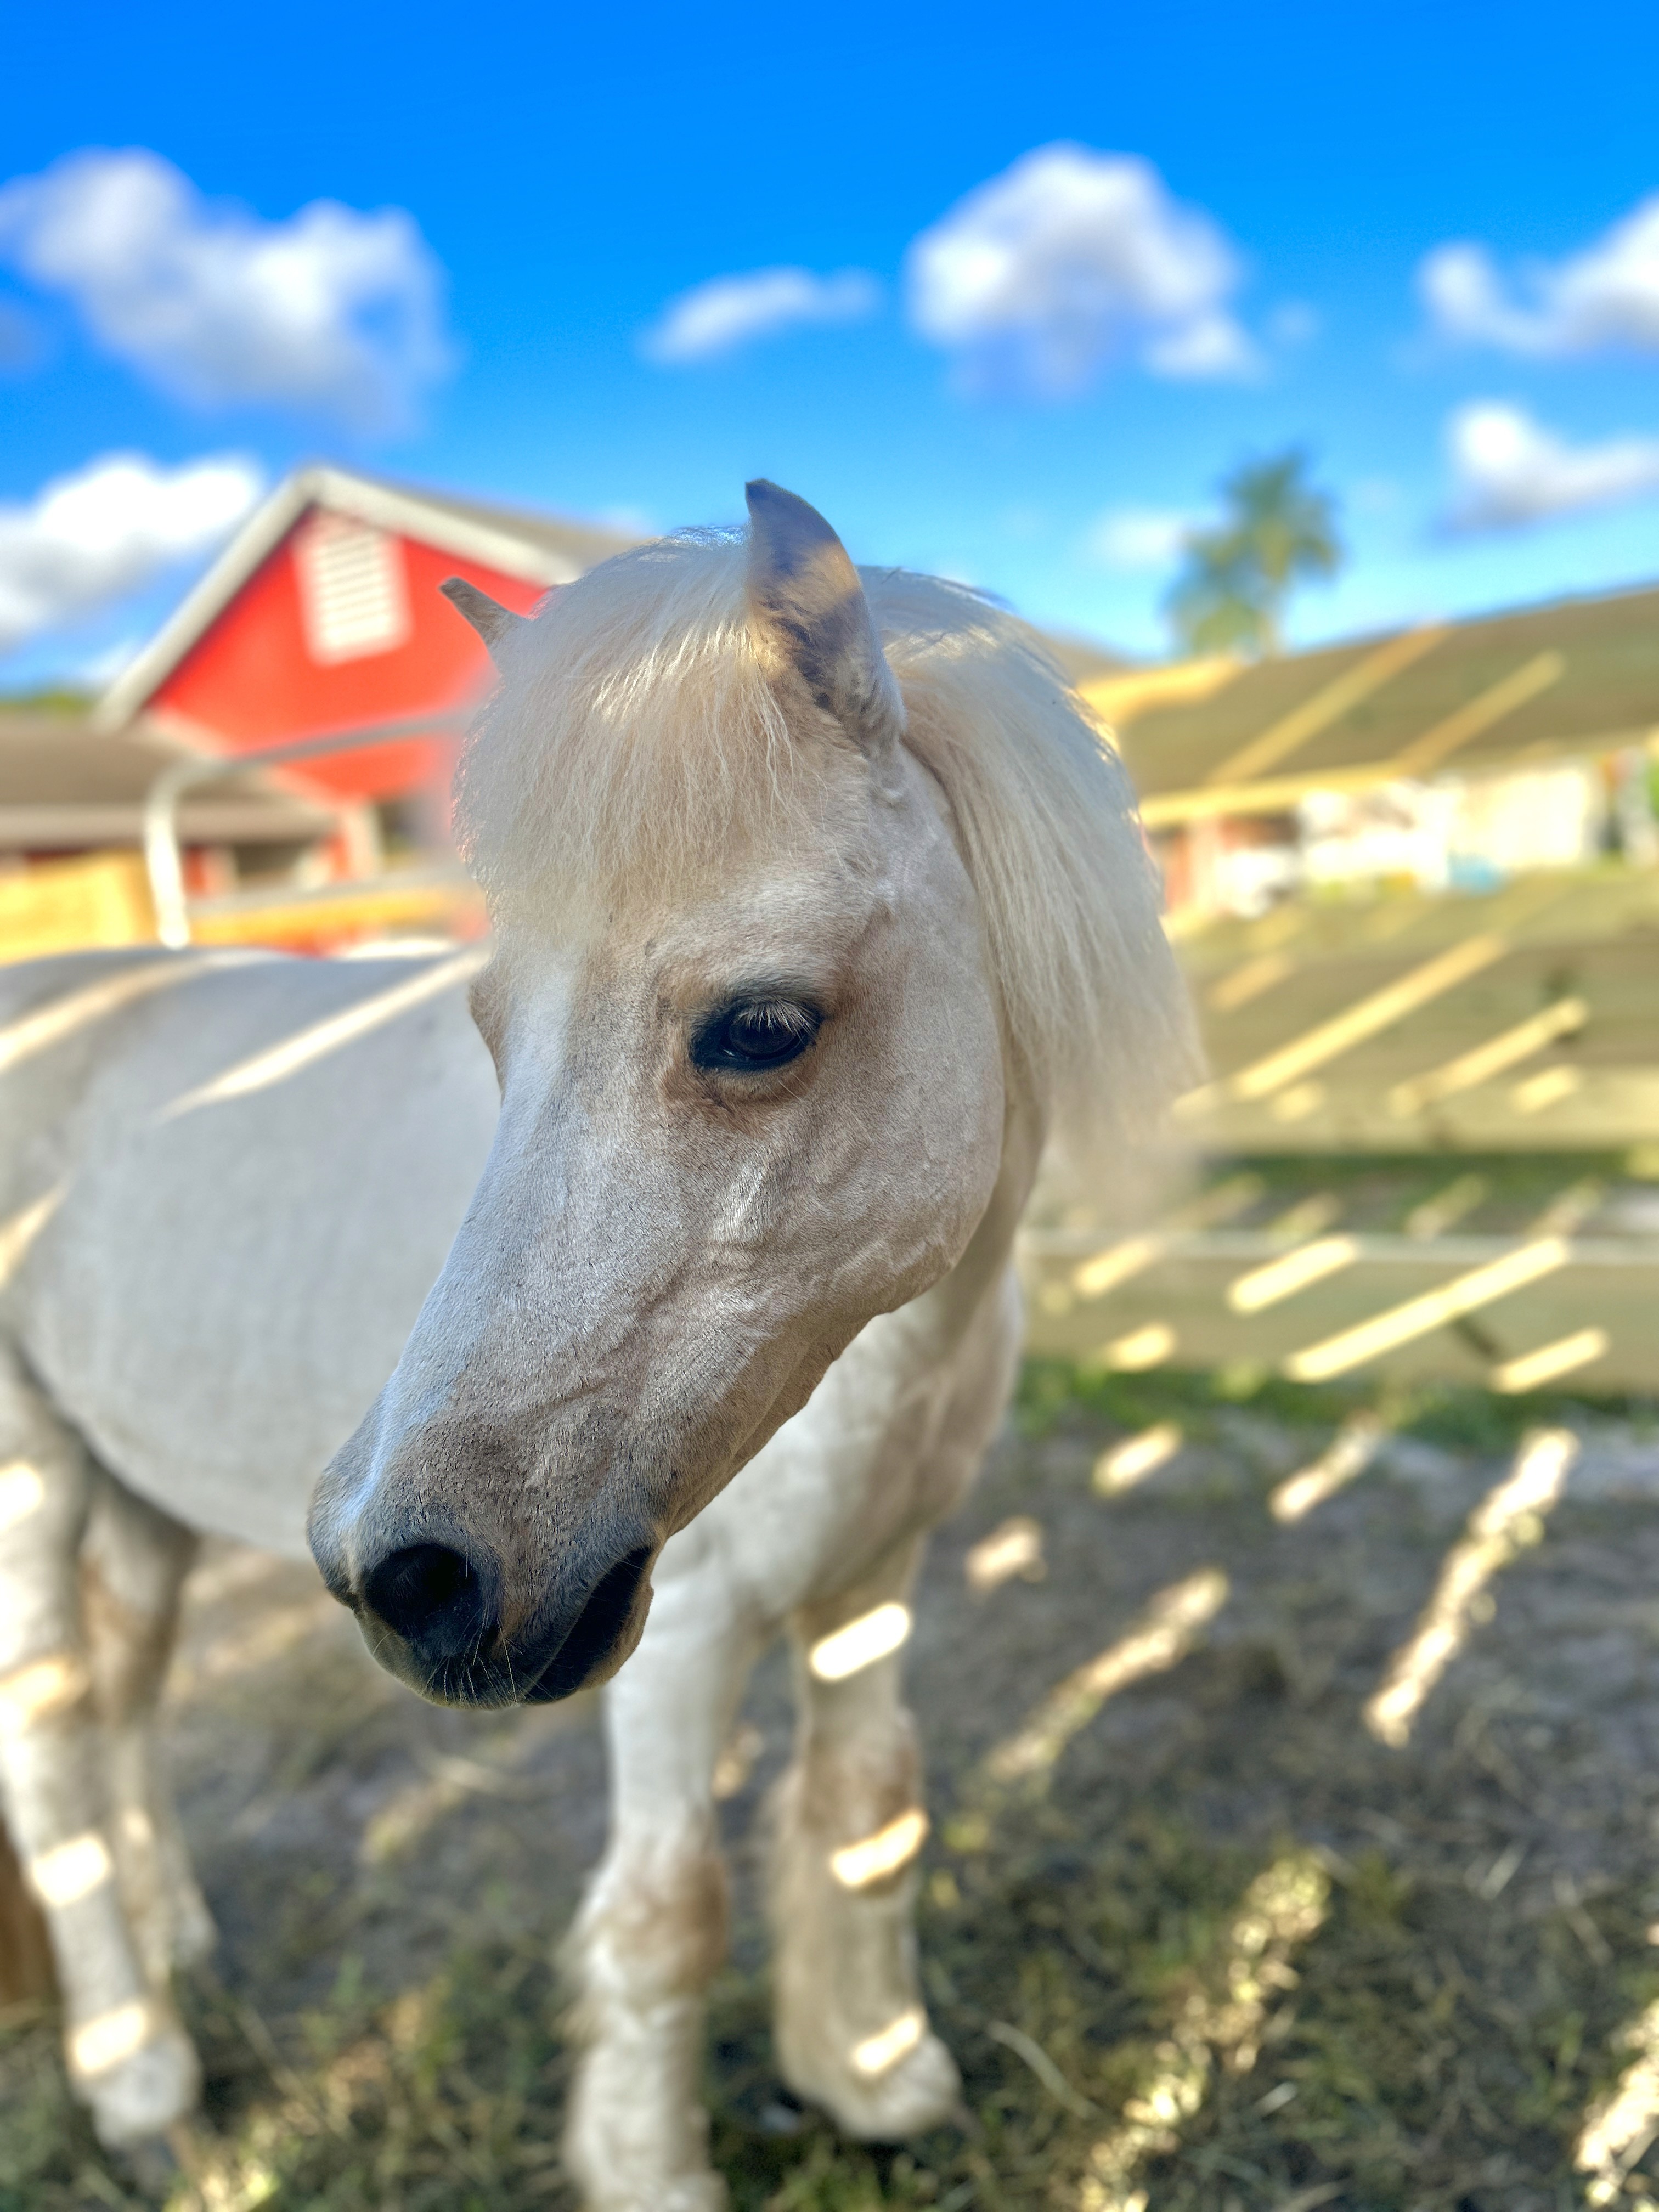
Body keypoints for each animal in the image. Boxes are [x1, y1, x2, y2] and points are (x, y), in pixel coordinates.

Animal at [0, 482, 1194, 2207]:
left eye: (761, 1029)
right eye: (495, 1031)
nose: (399, 1573)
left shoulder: (873, 1581)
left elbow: (868, 1807)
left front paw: (875, 2073)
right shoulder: (684, 1627)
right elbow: (667, 1911)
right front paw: (654, 2165)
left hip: (141, 1504)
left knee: (126, 1716)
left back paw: (175, 1950)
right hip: (34, 1489)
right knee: (51, 1753)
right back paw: (141, 2079)